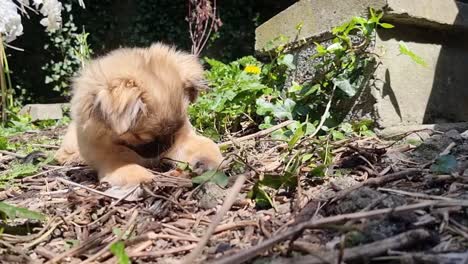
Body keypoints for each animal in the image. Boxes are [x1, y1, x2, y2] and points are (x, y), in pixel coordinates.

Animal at [55, 43, 207, 187]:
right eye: (143, 138)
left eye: (175, 131)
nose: (166, 147)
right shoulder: (104, 150)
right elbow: (122, 162)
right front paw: (140, 176)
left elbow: (204, 145)